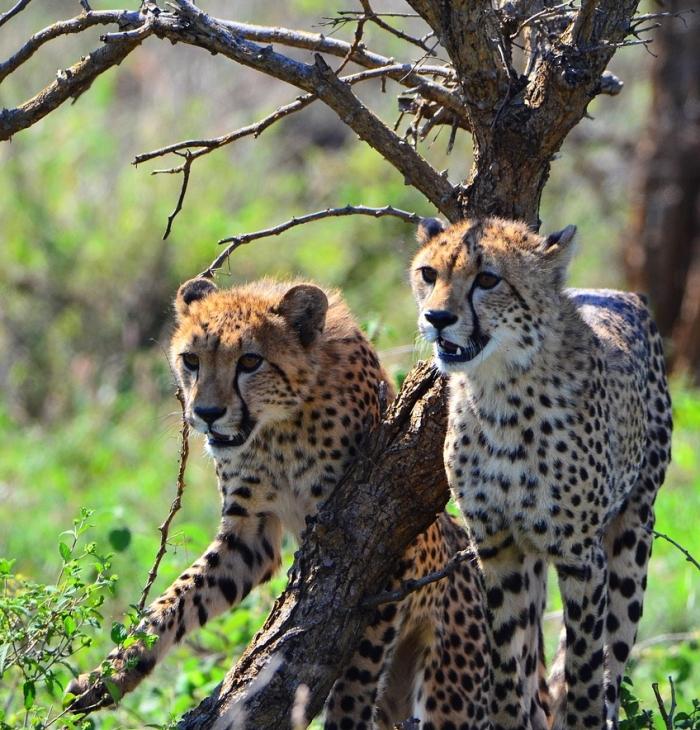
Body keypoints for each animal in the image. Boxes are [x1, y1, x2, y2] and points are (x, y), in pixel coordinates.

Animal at [68, 275, 494, 729]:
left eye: (250, 361)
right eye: (191, 360)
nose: (206, 412)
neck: (278, 427)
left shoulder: (386, 541)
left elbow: (360, 666)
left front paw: (343, 716)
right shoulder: (249, 536)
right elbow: (176, 599)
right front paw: (111, 673)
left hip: (452, 691)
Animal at [410, 216, 672, 730]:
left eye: (487, 279)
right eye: (429, 274)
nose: (437, 318)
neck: (499, 394)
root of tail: (619, 293)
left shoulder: (580, 555)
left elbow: (586, 667)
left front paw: (583, 715)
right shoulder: (497, 545)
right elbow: (508, 663)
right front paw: (509, 716)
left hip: (633, 533)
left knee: (612, 656)